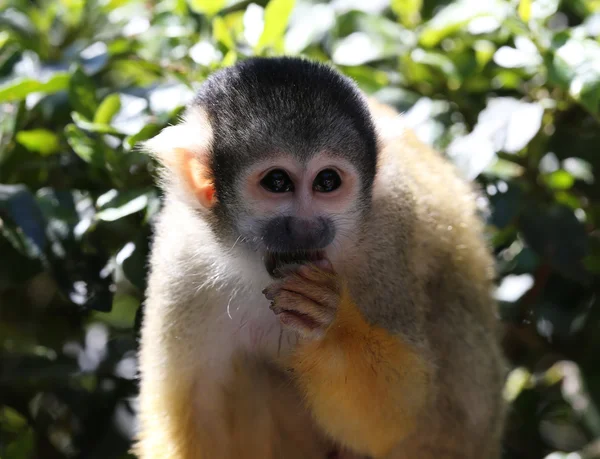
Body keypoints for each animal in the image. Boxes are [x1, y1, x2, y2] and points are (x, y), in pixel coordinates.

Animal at [135, 55, 506, 458]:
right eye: (277, 182)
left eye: (327, 181)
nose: (306, 227)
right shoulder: (183, 258)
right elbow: (193, 415)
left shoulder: (389, 234)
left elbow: (396, 413)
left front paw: (332, 323)